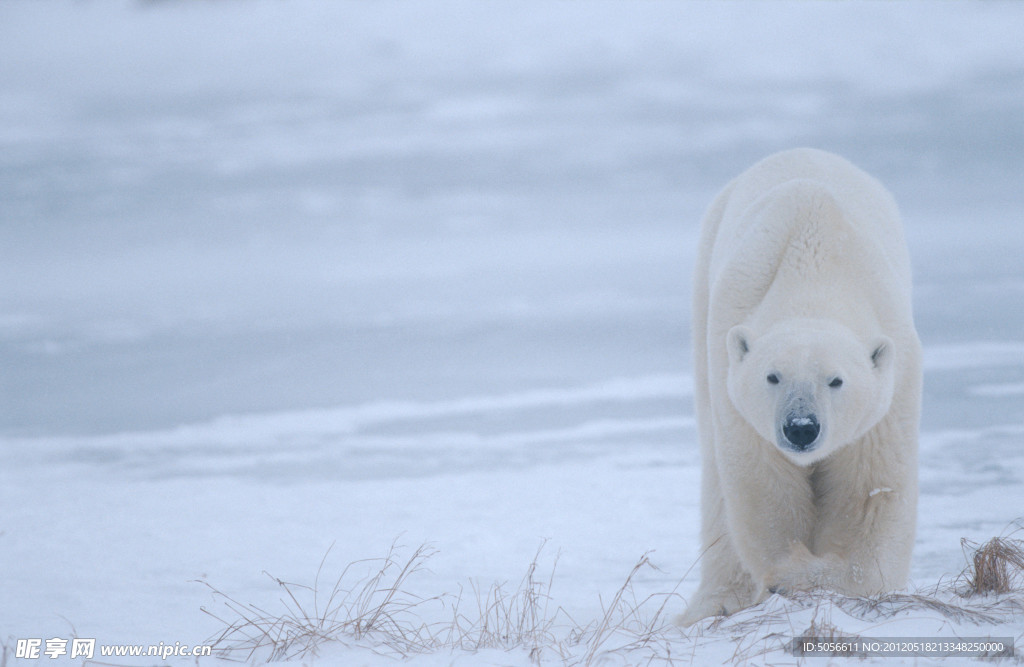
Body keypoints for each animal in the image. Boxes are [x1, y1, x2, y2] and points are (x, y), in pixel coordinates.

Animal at [675, 146, 925, 627]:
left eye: (836, 380)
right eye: (772, 376)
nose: (801, 428)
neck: (814, 268)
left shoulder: (891, 378)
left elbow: (869, 490)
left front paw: (821, 575)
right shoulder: (733, 377)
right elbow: (763, 483)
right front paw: (788, 570)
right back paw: (715, 601)